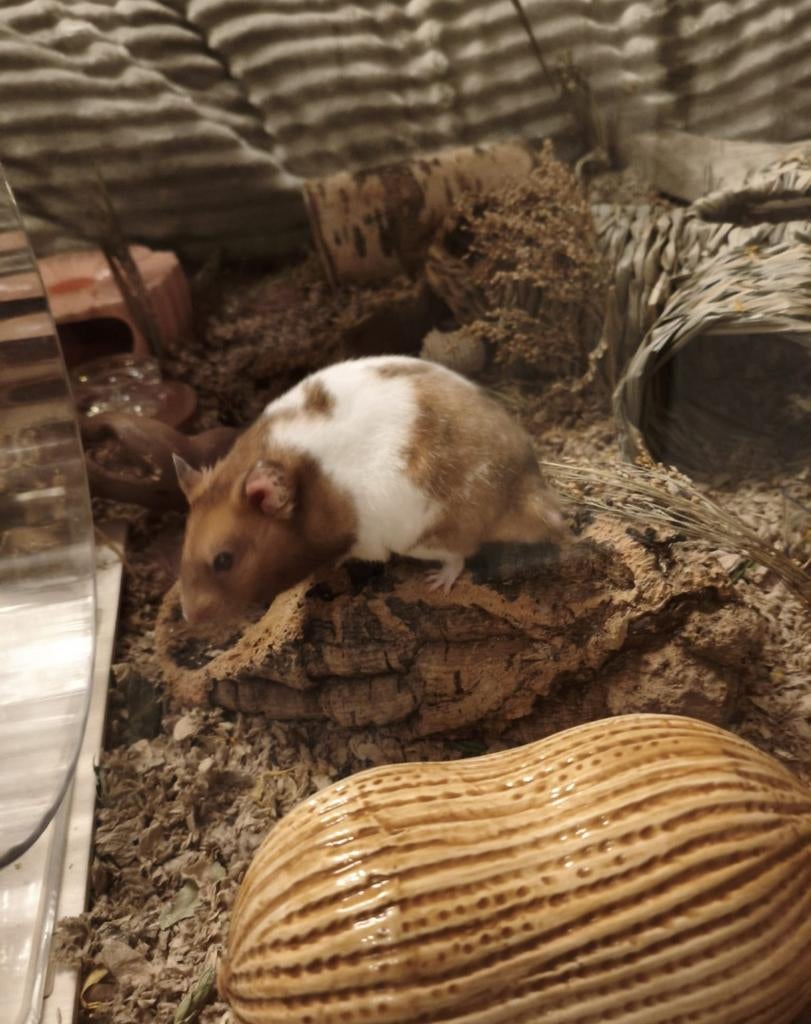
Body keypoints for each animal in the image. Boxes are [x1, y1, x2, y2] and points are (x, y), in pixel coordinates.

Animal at [173, 355, 567, 625]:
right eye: (183, 550)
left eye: (224, 561)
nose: (189, 618)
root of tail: (525, 490)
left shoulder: (362, 540)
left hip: (422, 534)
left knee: (460, 556)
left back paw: (436, 583)